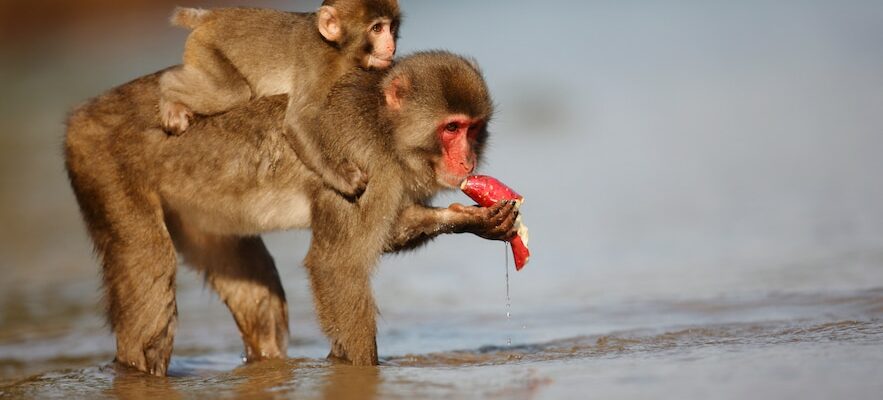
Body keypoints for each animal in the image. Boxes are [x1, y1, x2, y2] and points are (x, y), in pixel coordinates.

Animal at [65, 50, 520, 376]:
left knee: (255, 289)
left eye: (474, 128)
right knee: (148, 266)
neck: (384, 129)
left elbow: (388, 232)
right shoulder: (363, 161)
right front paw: (362, 371)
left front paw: (474, 220)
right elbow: (337, 265)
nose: (468, 160)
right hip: (102, 163)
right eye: (451, 128)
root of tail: (82, 114)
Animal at [161, 0, 402, 198]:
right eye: (377, 29)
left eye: (391, 28)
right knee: (232, 92)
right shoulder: (319, 64)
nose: (391, 46)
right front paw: (341, 176)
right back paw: (167, 93)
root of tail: (212, 16)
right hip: (205, 47)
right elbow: (297, 121)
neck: (338, 49)